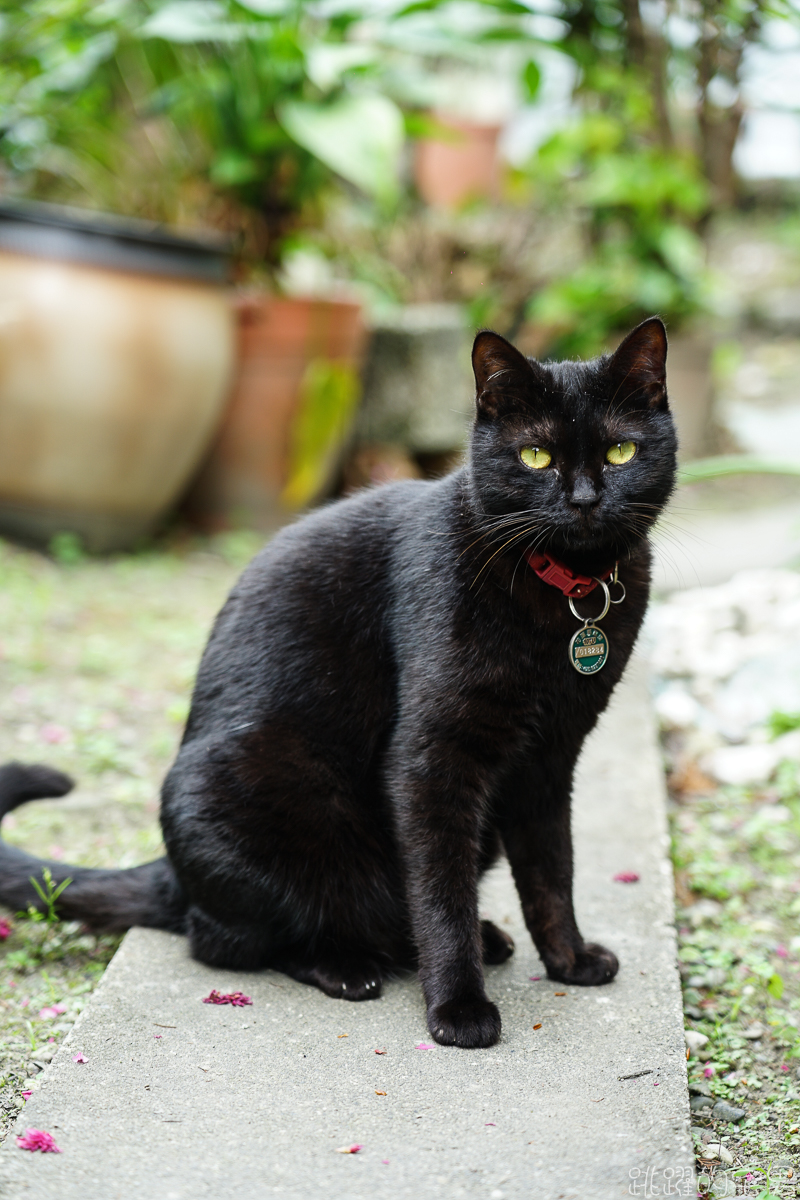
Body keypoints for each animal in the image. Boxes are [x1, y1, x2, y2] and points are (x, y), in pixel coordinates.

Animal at [0, 316, 681, 1051]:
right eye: (535, 456)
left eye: (620, 451)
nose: (583, 499)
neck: (565, 596)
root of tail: (175, 876)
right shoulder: (430, 759)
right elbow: (439, 891)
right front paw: (459, 1006)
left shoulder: (550, 758)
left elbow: (552, 870)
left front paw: (569, 958)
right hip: (257, 794)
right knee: (239, 939)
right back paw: (349, 965)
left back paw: (487, 938)